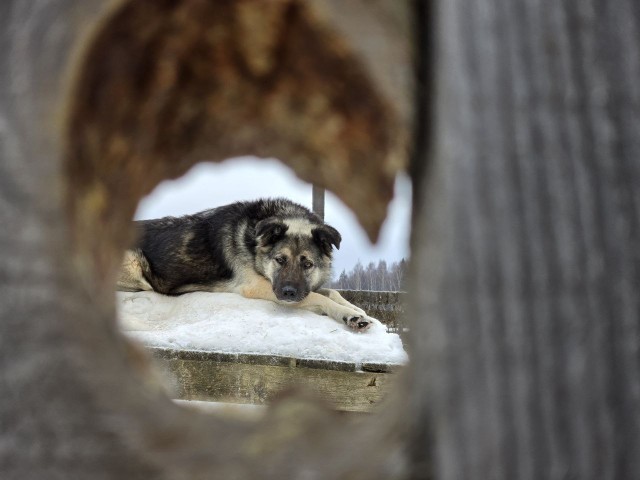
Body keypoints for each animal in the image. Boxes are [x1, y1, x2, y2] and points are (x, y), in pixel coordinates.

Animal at [117, 198, 372, 330]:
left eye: (307, 264)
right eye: (280, 260)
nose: (288, 293)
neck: (255, 243)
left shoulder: (302, 286)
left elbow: (331, 292)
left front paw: (356, 309)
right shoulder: (258, 286)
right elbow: (320, 297)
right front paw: (349, 316)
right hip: (134, 260)